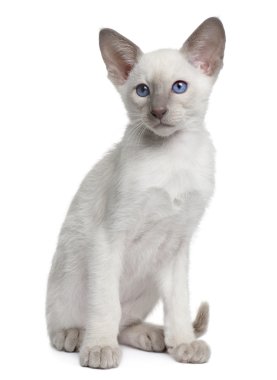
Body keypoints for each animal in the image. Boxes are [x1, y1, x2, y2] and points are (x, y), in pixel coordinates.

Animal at [45, 17, 224, 368]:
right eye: (143, 91)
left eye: (178, 87)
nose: (158, 111)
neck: (172, 158)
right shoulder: (109, 237)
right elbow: (105, 303)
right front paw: (99, 350)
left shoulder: (178, 245)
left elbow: (179, 304)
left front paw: (184, 345)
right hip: (69, 274)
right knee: (76, 320)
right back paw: (76, 336)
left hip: (150, 283)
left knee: (125, 322)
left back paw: (153, 336)